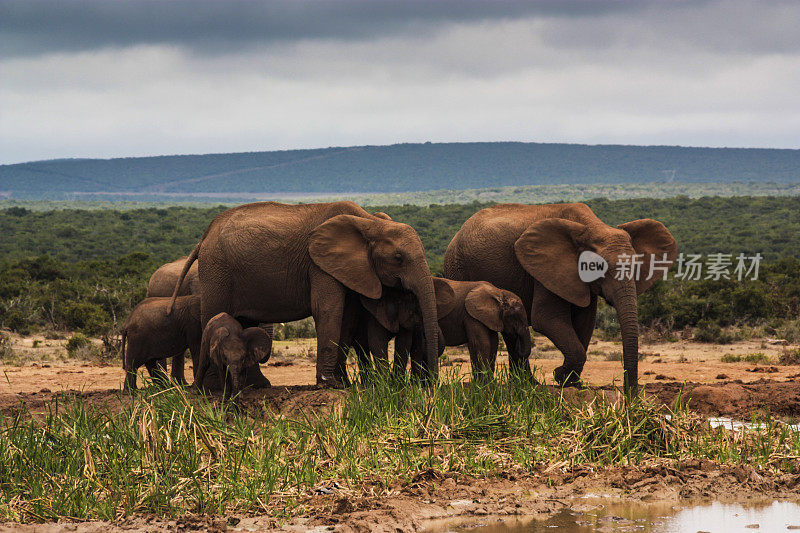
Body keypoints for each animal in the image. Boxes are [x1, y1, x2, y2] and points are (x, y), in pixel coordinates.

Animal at [171, 200, 440, 386]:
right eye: (398, 258)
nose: (433, 385)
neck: (369, 222)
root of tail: (205, 235)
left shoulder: (353, 269)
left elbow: (348, 317)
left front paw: (342, 384)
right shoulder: (319, 264)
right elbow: (329, 310)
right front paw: (329, 384)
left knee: (245, 323)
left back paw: (257, 386)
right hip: (217, 269)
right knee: (216, 315)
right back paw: (214, 387)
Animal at [444, 202, 676, 392]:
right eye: (597, 267)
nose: (630, 394)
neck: (591, 227)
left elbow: (585, 323)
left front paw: (572, 384)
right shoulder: (546, 269)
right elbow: (547, 319)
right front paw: (560, 376)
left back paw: (527, 384)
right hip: (457, 267)